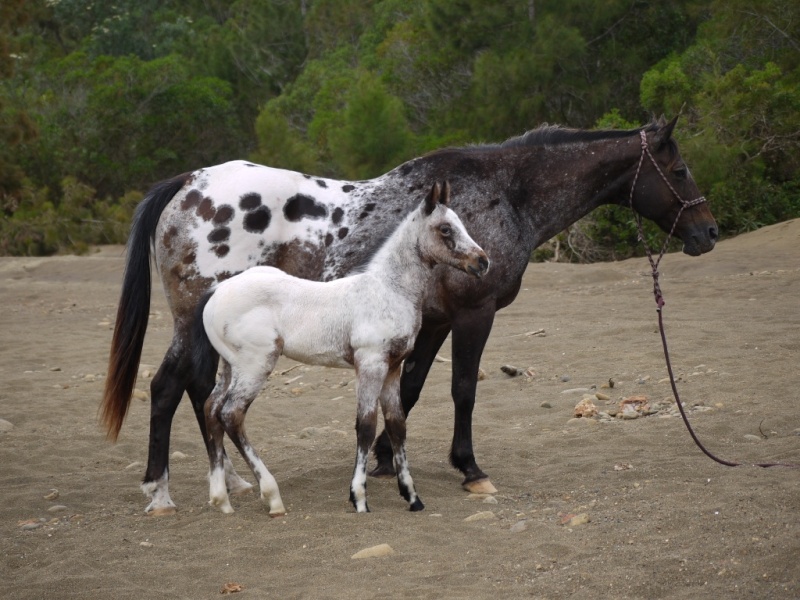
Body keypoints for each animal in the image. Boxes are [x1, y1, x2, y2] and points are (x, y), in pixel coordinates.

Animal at [100, 116, 720, 516]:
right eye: (681, 170)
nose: (709, 232)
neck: (505, 194)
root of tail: (188, 184)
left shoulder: (433, 324)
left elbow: (411, 393)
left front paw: (381, 463)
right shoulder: (474, 316)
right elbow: (463, 389)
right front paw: (468, 468)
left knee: (198, 392)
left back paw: (227, 482)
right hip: (195, 322)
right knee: (169, 387)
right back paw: (162, 492)